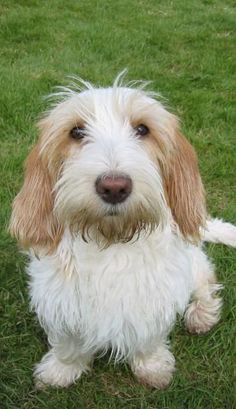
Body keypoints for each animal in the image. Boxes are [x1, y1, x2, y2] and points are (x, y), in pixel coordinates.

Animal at [9, 74, 236, 388]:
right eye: (76, 132)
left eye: (143, 129)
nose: (114, 186)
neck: (111, 239)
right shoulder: (61, 301)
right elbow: (68, 345)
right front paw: (60, 371)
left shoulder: (154, 298)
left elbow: (149, 339)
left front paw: (152, 368)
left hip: (193, 264)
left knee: (206, 282)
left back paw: (202, 314)